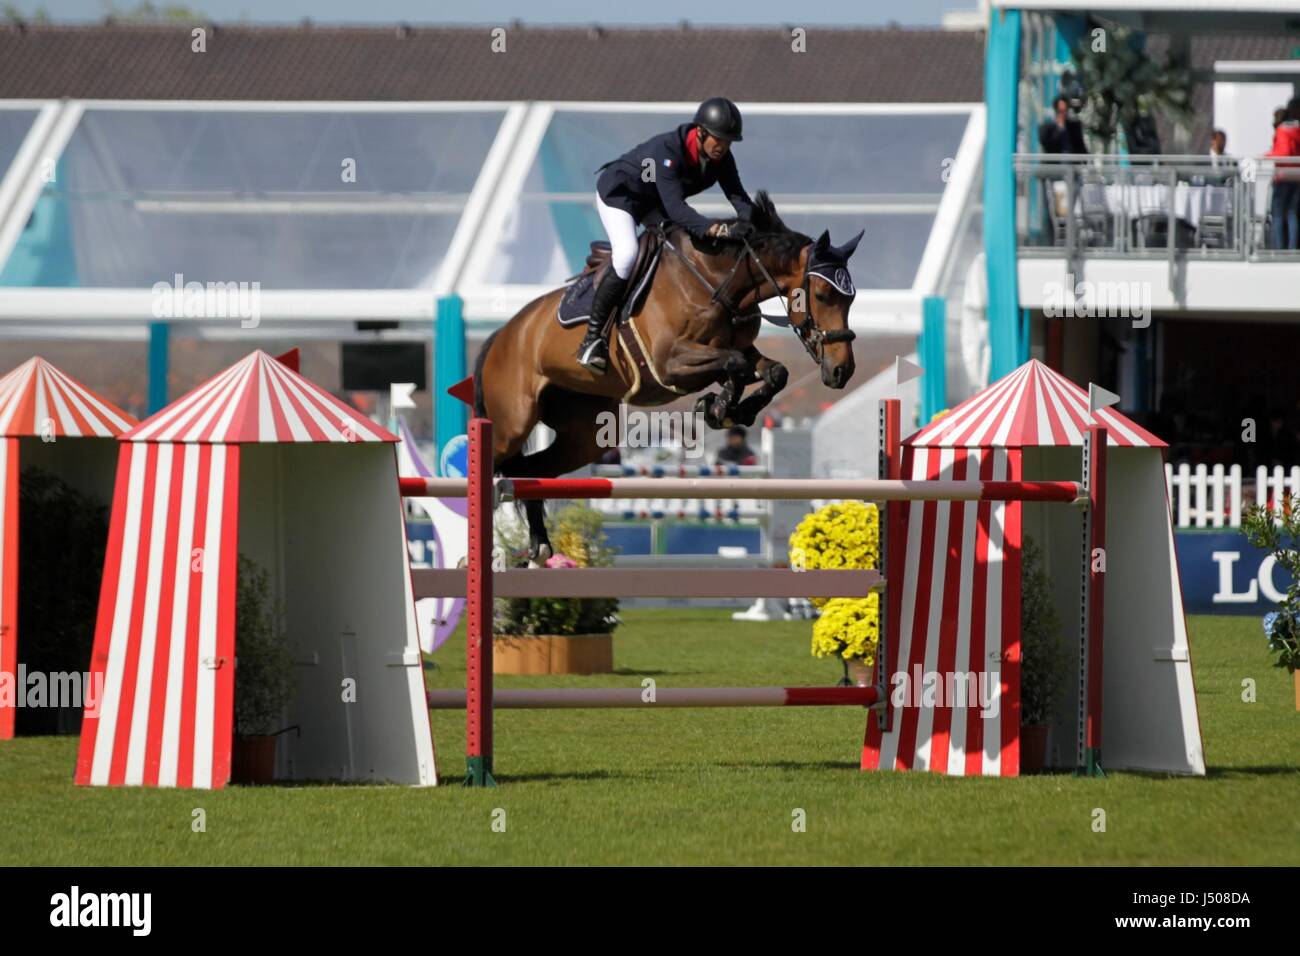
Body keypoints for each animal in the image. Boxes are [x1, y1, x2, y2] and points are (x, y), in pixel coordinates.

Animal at [475, 191, 863, 561]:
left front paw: (729, 409)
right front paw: (718, 407)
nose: (842, 370)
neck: (718, 281)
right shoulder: (669, 364)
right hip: (513, 422)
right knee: (499, 461)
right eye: (822, 295)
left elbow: (773, 371)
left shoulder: (736, 349)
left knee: (529, 470)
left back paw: (539, 545)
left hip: (583, 434)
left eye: (851, 298)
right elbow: (734, 364)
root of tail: (503, 334)